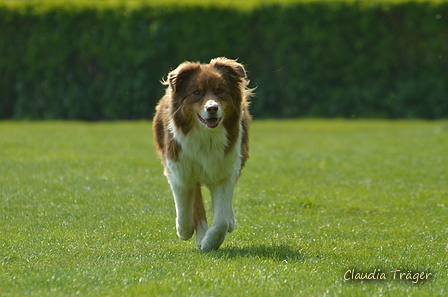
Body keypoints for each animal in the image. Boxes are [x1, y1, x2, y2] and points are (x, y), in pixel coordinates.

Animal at [153, 57, 252, 250]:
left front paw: (209, 242)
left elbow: (221, 218)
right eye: (196, 92)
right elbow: (185, 209)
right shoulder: (180, 171)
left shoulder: (224, 171)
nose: (212, 108)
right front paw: (185, 231)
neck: (206, 137)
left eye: (220, 91)